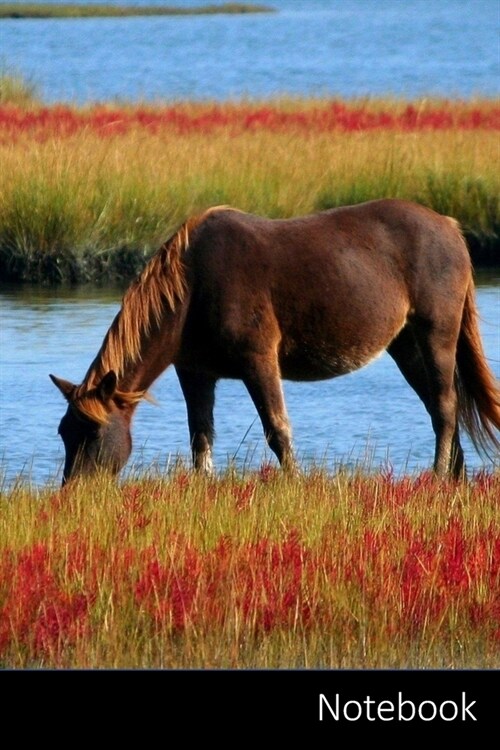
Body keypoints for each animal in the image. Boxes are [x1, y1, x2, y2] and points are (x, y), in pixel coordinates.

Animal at [51, 200, 500, 484]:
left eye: (93, 433)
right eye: (64, 432)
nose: (74, 492)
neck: (193, 287)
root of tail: (450, 227)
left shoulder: (259, 361)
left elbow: (277, 430)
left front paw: (294, 483)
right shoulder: (195, 372)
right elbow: (200, 437)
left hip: (436, 332)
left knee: (445, 406)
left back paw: (438, 476)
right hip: (405, 344)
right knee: (438, 406)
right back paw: (454, 477)